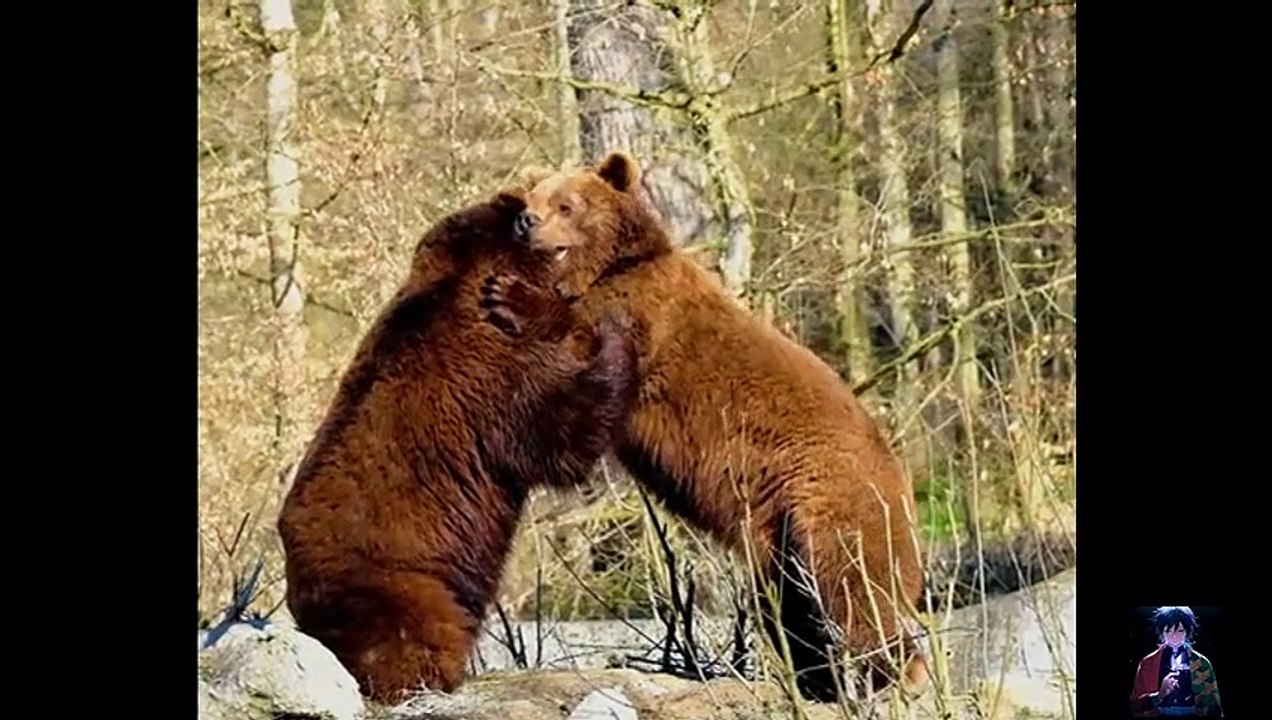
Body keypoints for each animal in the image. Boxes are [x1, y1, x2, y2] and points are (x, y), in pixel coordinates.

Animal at [275, 190, 640, 703]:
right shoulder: (492, 373)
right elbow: (563, 432)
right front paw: (613, 338)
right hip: (407, 582)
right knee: (420, 631)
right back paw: (434, 673)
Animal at [492, 153, 930, 702]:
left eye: (566, 204)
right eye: (533, 198)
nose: (526, 221)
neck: (607, 269)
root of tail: (901, 479)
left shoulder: (640, 314)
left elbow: (589, 343)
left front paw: (510, 295)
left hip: (829, 498)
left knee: (852, 585)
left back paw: (886, 674)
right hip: (780, 534)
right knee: (793, 606)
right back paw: (815, 680)